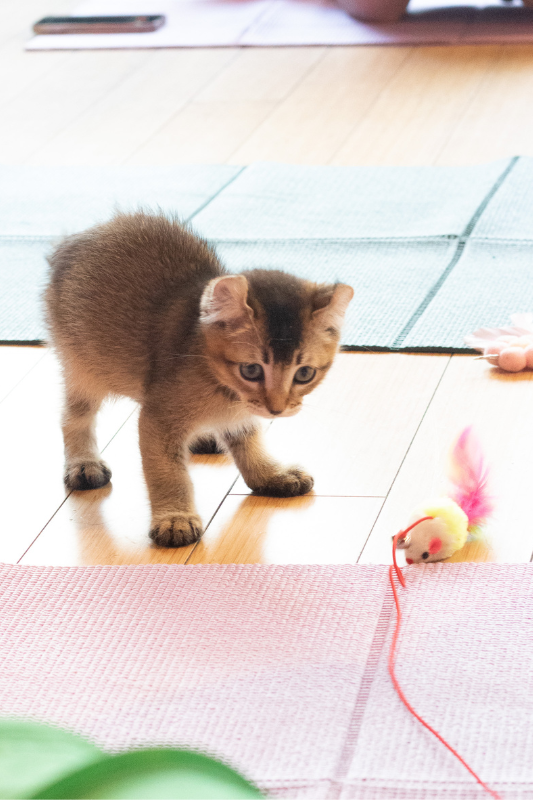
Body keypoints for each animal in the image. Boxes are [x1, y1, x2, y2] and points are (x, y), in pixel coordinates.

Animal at [45, 211, 354, 552]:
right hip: (83, 365)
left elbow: (248, 439)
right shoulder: (157, 417)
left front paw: (269, 475)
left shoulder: (239, 414)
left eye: (304, 374)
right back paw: (84, 464)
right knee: (73, 417)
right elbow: (167, 471)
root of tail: (77, 237)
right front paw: (175, 518)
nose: (276, 409)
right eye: (251, 370)